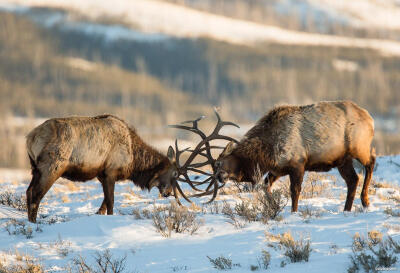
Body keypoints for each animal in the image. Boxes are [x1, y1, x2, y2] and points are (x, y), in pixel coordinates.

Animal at [25, 113, 179, 222]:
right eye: (174, 174)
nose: (168, 192)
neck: (133, 161)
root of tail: (30, 137)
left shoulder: (101, 174)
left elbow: (104, 202)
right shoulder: (110, 171)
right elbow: (110, 201)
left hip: (35, 168)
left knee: (29, 191)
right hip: (52, 166)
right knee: (36, 194)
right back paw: (34, 222)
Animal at [214, 101, 374, 211]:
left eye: (220, 162)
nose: (219, 176)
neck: (267, 152)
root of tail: (370, 118)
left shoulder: (298, 164)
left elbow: (295, 191)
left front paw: (293, 212)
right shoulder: (278, 169)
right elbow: (266, 186)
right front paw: (274, 206)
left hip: (359, 147)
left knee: (371, 162)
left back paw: (365, 201)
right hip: (343, 160)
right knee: (353, 179)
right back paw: (347, 209)